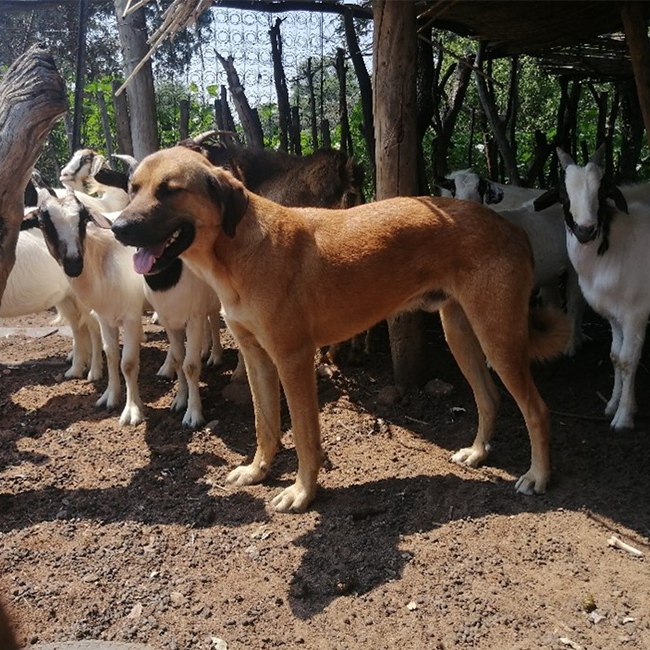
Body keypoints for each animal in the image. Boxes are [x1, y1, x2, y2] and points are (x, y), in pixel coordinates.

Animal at [26, 190, 146, 426]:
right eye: (43, 224)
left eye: (83, 220)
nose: (73, 264)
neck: (102, 260)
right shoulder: (106, 317)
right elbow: (112, 355)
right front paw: (110, 398)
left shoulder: (131, 316)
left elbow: (127, 363)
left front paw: (132, 411)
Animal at [112, 147, 568, 512]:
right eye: (133, 188)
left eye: (169, 190)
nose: (118, 228)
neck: (240, 249)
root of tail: (513, 227)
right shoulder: (258, 360)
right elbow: (265, 425)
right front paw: (258, 471)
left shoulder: (293, 360)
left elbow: (304, 437)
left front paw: (301, 493)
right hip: (461, 335)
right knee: (489, 398)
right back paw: (477, 453)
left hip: (499, 337)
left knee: (537, 410)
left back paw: (538, 476)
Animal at [532, 147, 644, 430]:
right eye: (562, 194)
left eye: (602, 193)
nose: (585, 231)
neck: (615, 247)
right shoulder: (614, 314)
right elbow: (615, 356)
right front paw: (613, 404)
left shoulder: (636, 313)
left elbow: (628, 360)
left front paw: (624, 417)